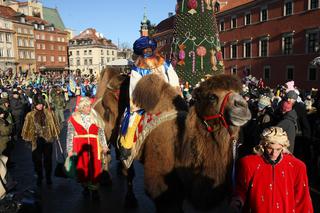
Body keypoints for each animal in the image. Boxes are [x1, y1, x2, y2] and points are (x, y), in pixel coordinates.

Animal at [94, 70, 251, 211]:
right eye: (212, 97)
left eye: (240, 92)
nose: (242, 106)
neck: (180, 143)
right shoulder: (159, 182)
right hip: (106, 132)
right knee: (113, 158)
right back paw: (116, 188)